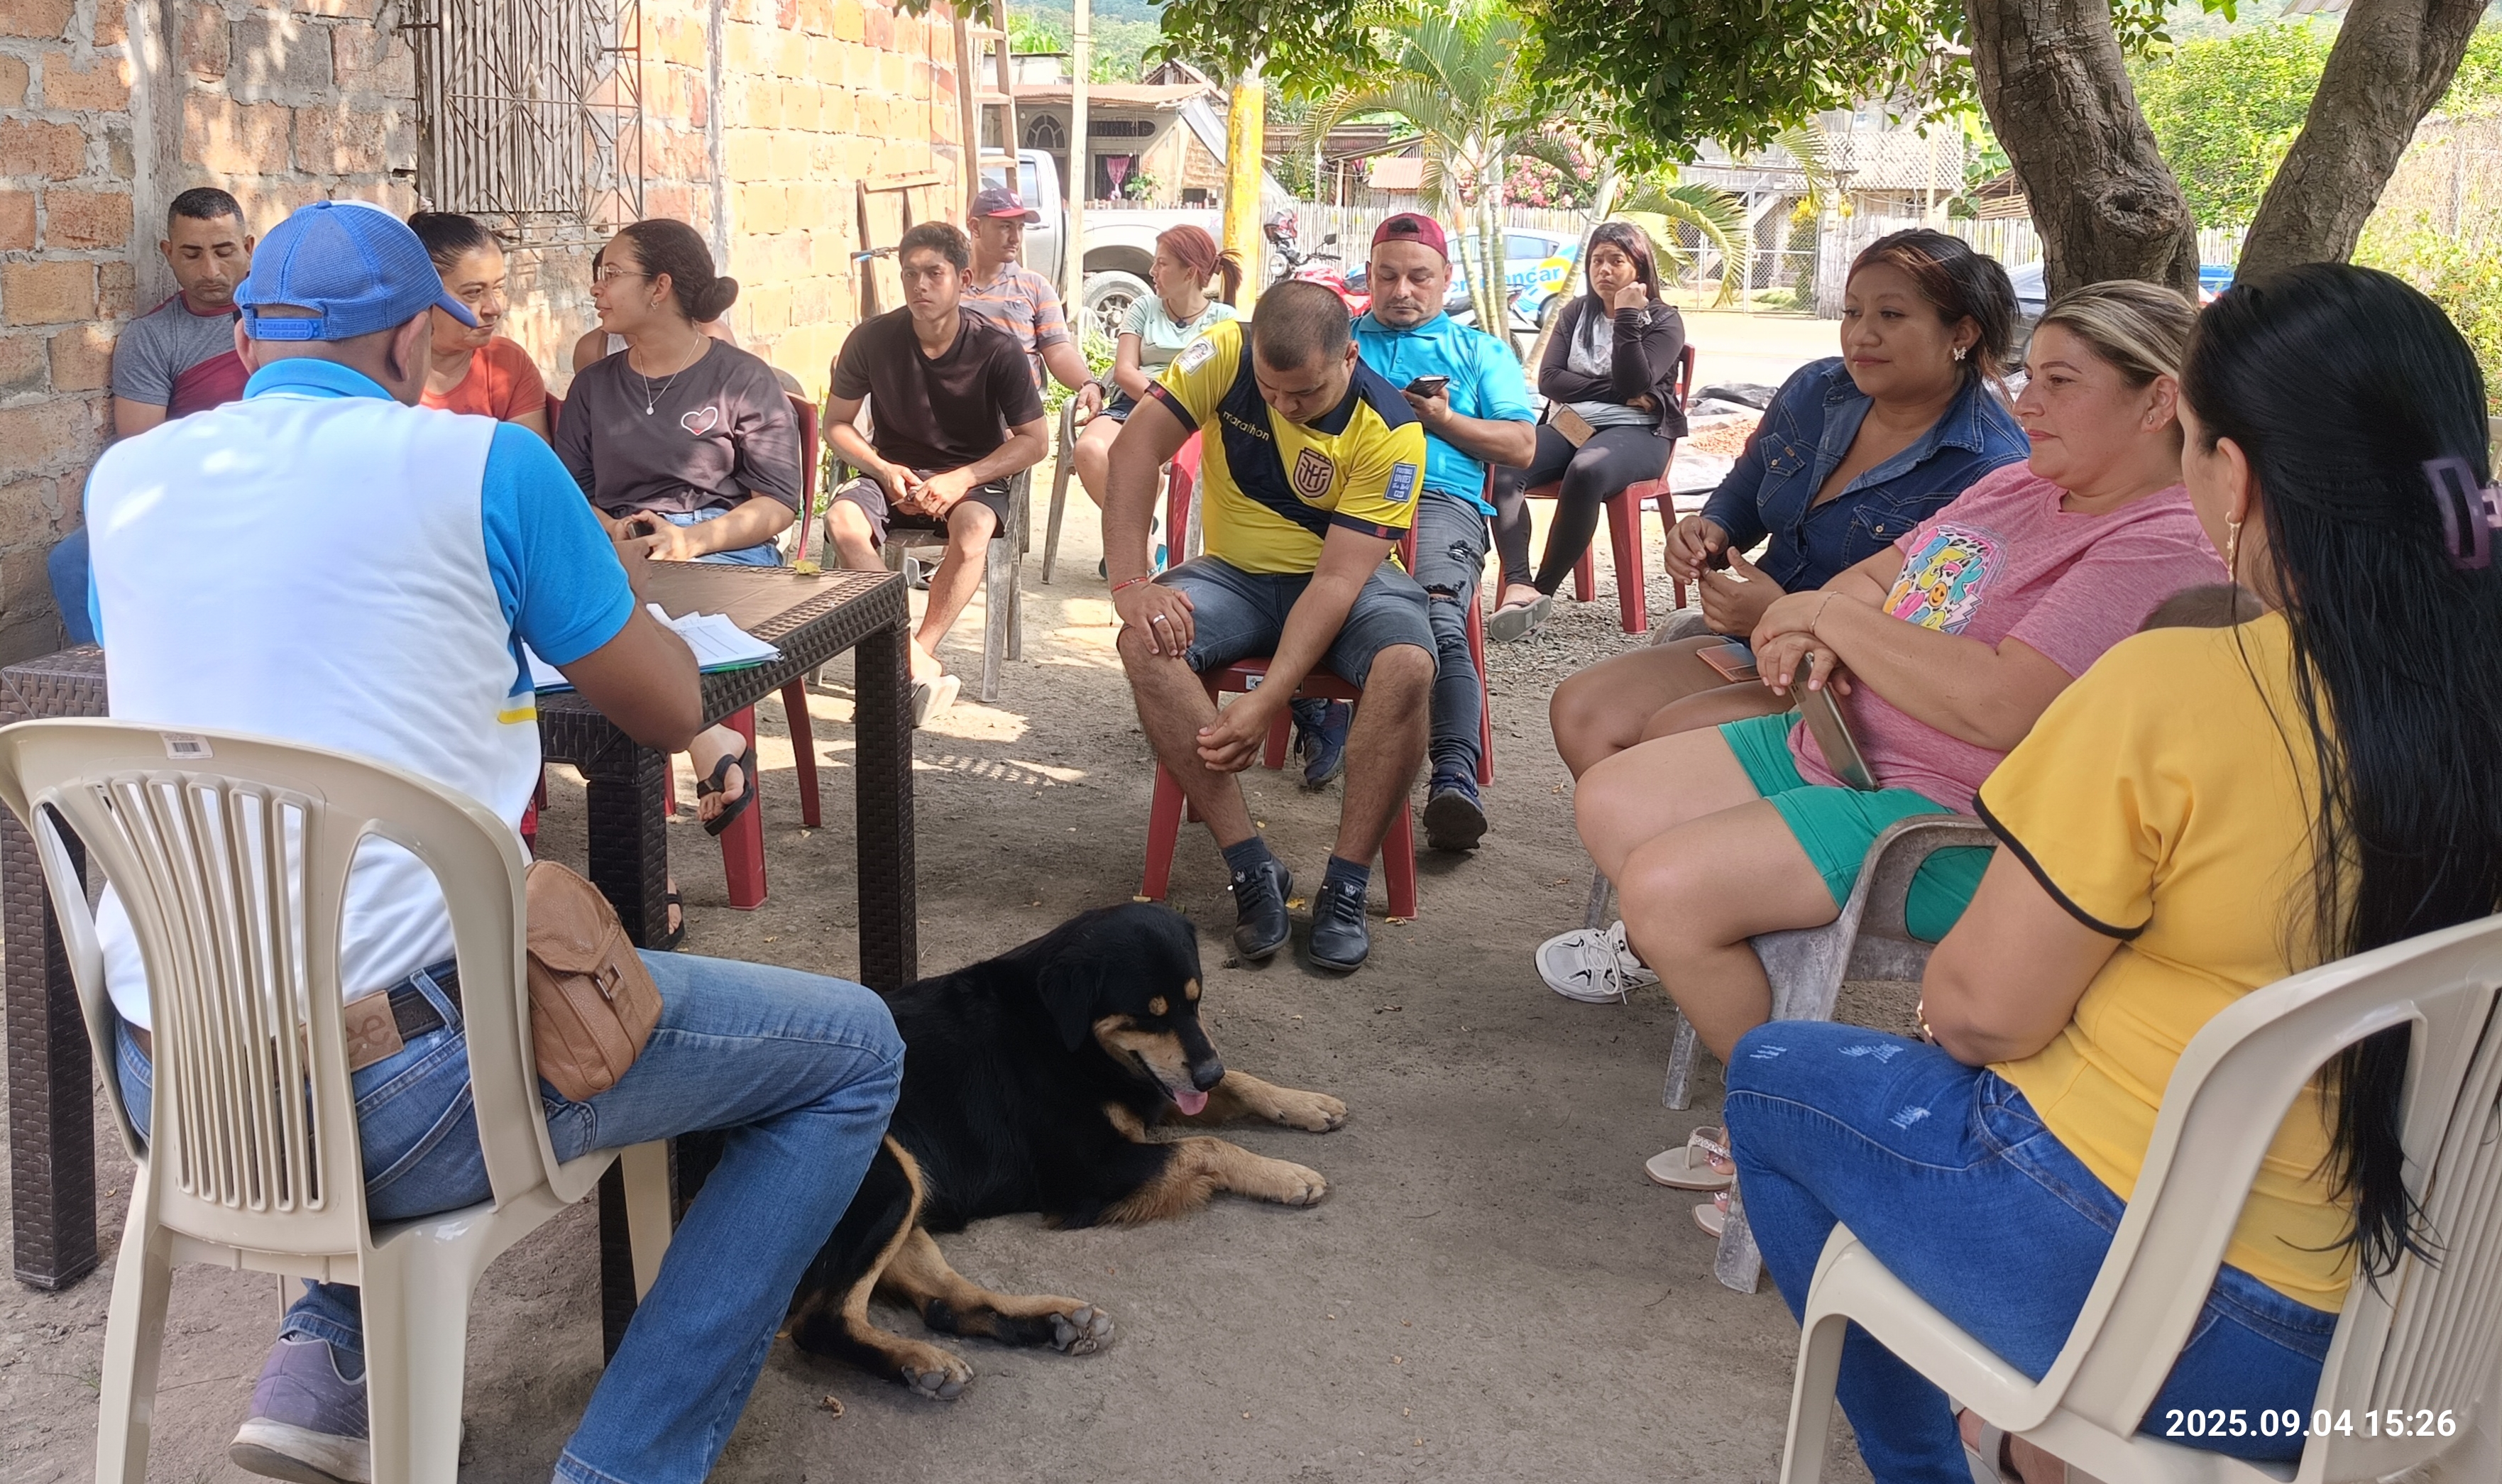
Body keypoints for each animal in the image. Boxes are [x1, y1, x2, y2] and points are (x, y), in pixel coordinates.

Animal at [785, 902, 1346, 1398]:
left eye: (1196, 1001)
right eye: (1149, 1015)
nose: (1207, 1072)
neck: (1057, 1027)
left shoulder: (1157, 1090)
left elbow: (1241, 1083)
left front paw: (1306, 1103)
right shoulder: (1089, 1171)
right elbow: (1207, 1144)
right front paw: (1285, 1174)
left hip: (910, 1187)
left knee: (942, 1305)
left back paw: (1051, 1322)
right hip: (891, 1177)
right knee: (820, 1322)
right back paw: (918, 1361)